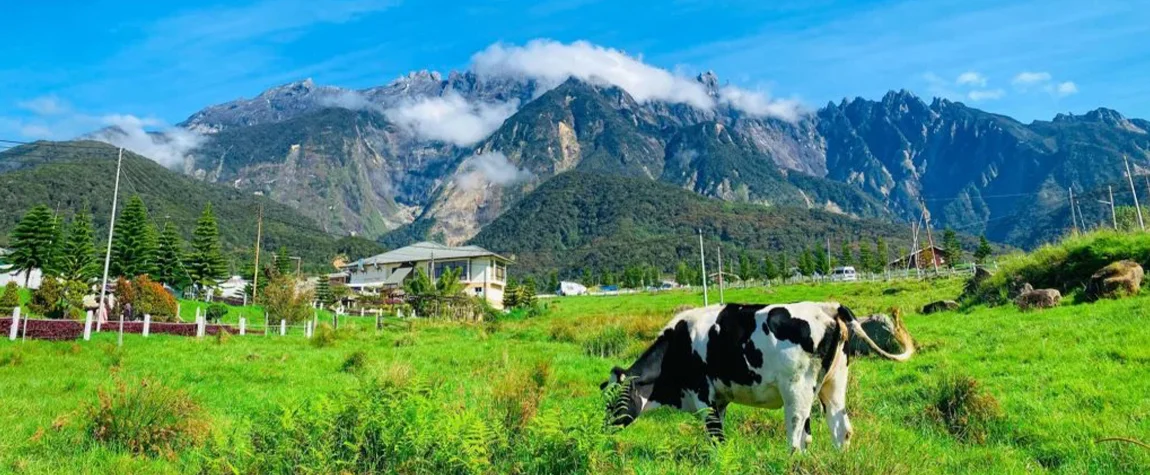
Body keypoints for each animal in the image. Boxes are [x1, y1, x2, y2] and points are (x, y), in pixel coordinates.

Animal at [602, 301, 915, 450]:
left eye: (614, 402)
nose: (602, 429)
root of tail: (826, 305)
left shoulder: (703, 397)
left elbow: (716, 437)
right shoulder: (720, 400)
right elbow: (718, 435)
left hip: (797, 390)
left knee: (797, 438)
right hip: (834, 385)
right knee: (841, 430)